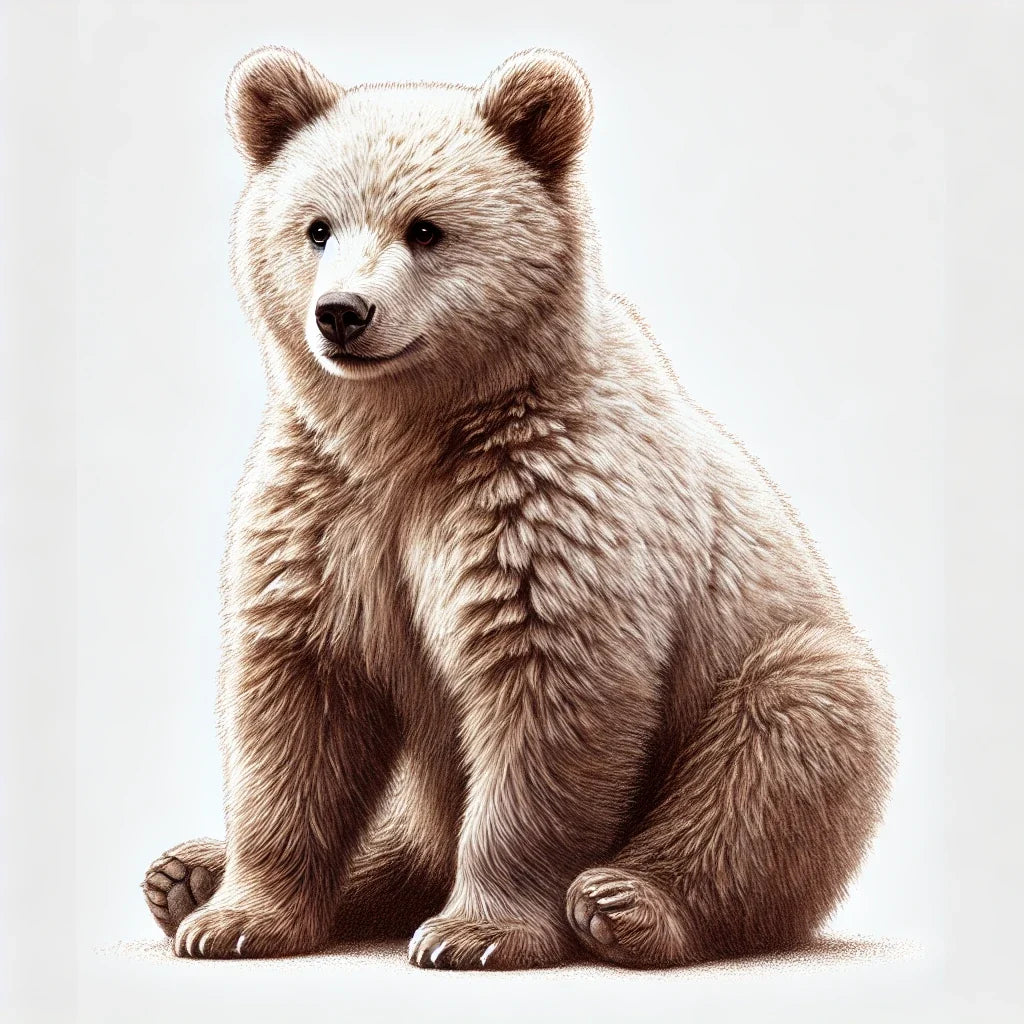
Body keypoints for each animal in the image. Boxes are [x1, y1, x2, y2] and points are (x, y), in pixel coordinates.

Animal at [142, 46, 895, 970]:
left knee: (783, 737)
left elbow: (544, 690)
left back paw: (627, 902)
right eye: (316, 226)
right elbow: (298, 701)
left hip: (781, 662)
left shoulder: (547, 500)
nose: (342, 313)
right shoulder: (324, 509)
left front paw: (475, 933)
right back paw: (185, 874)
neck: (409, 433)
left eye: (425, 229)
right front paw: (238, 917)